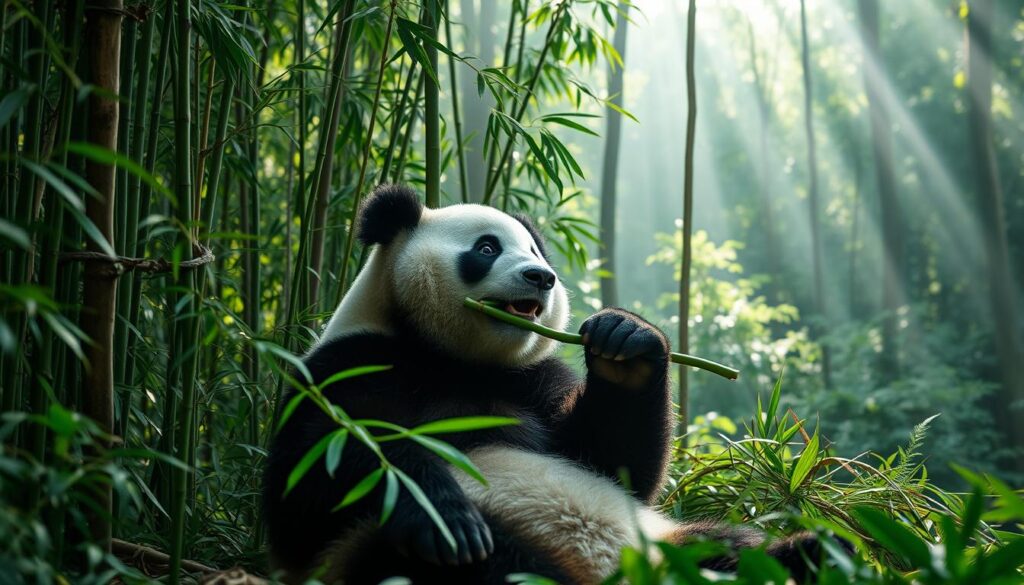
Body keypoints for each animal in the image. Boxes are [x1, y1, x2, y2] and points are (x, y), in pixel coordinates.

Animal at [264, 185, 831, 581]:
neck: (454, 356)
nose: (542, 277)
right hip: (401, 550)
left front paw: (625, 340)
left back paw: (816, 552)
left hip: (668, 538)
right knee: (492, 565)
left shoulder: (533, 379)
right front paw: (441, 511)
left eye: (536, 250)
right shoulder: (348, 362)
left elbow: (613, 463)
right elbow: (319, 470)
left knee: (731, 547)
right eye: (487, 248)